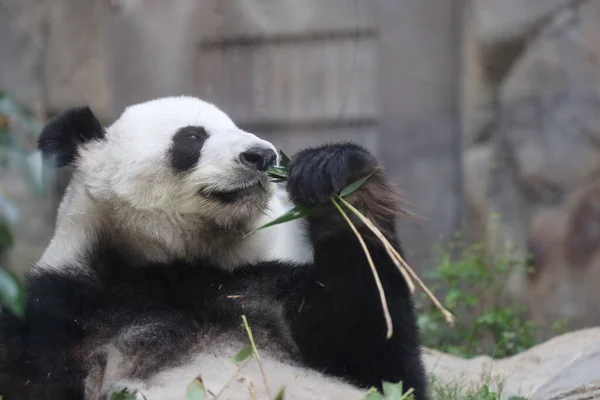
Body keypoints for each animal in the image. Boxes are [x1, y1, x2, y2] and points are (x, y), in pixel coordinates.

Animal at [0, 97, 428, 400]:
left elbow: (377, 362)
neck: (179, 260)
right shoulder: (63, 309)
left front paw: (336, 178)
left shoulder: (268, 286)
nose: (263, 156)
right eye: (192, 137)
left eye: (239, 127)